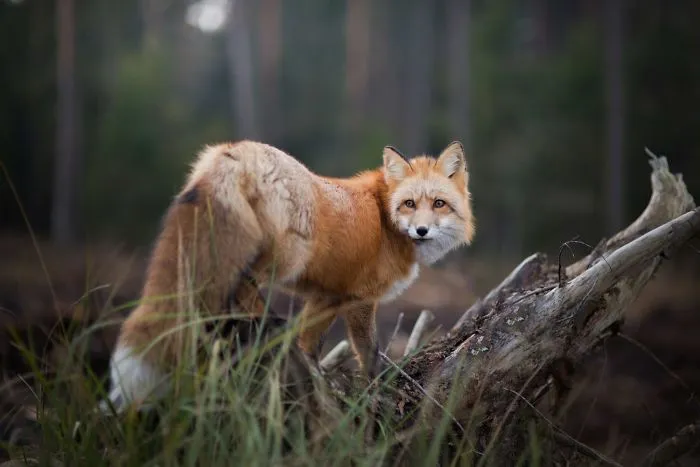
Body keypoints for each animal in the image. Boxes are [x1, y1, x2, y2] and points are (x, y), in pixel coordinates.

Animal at [100, 140, 475, 414]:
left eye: (439, 203)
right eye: (409, 204)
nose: (422, 231)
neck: (384, 218)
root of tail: (238, 150)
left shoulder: (328, 297)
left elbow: (308, 344)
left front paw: (319, 378)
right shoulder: (360, 299)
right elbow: (369, 351)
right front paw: (376, 388)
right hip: (288, 255)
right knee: (243, 284)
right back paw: (262, 321)